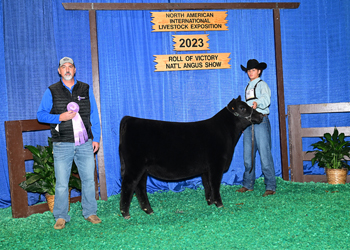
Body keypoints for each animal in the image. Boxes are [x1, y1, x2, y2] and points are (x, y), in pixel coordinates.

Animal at [118, 95, 262, 219]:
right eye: (242, 108)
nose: (261, 115)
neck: (226, 133)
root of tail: (130, 119)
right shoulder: (217, 164)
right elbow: (215, 184)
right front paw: (219, 204)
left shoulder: (206, 169)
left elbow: (207, 184)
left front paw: (210, 203)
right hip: (135, 165)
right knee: (128, 185)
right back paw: (126, 214)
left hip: (142, 168)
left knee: (140, 187)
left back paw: (149, 211)